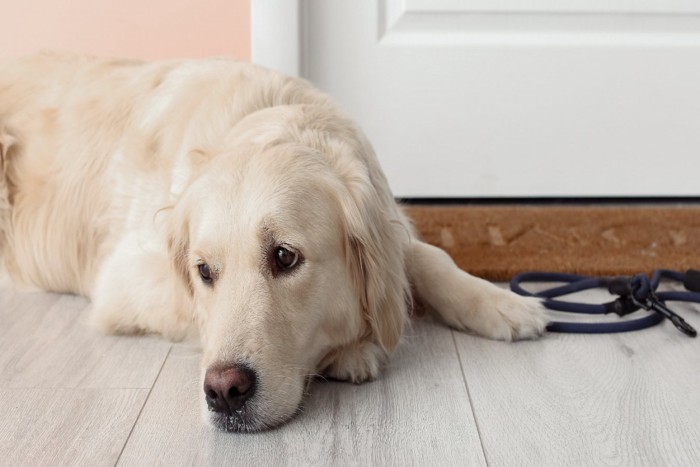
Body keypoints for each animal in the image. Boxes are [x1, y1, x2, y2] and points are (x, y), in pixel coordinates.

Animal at [0, 53, 548, 434]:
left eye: (285, 257)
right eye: (203, 271)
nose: (223, 393)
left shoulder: (386, 221)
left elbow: (427, 256)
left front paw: (503, 304)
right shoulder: (126, 281)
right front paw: (354, 350)